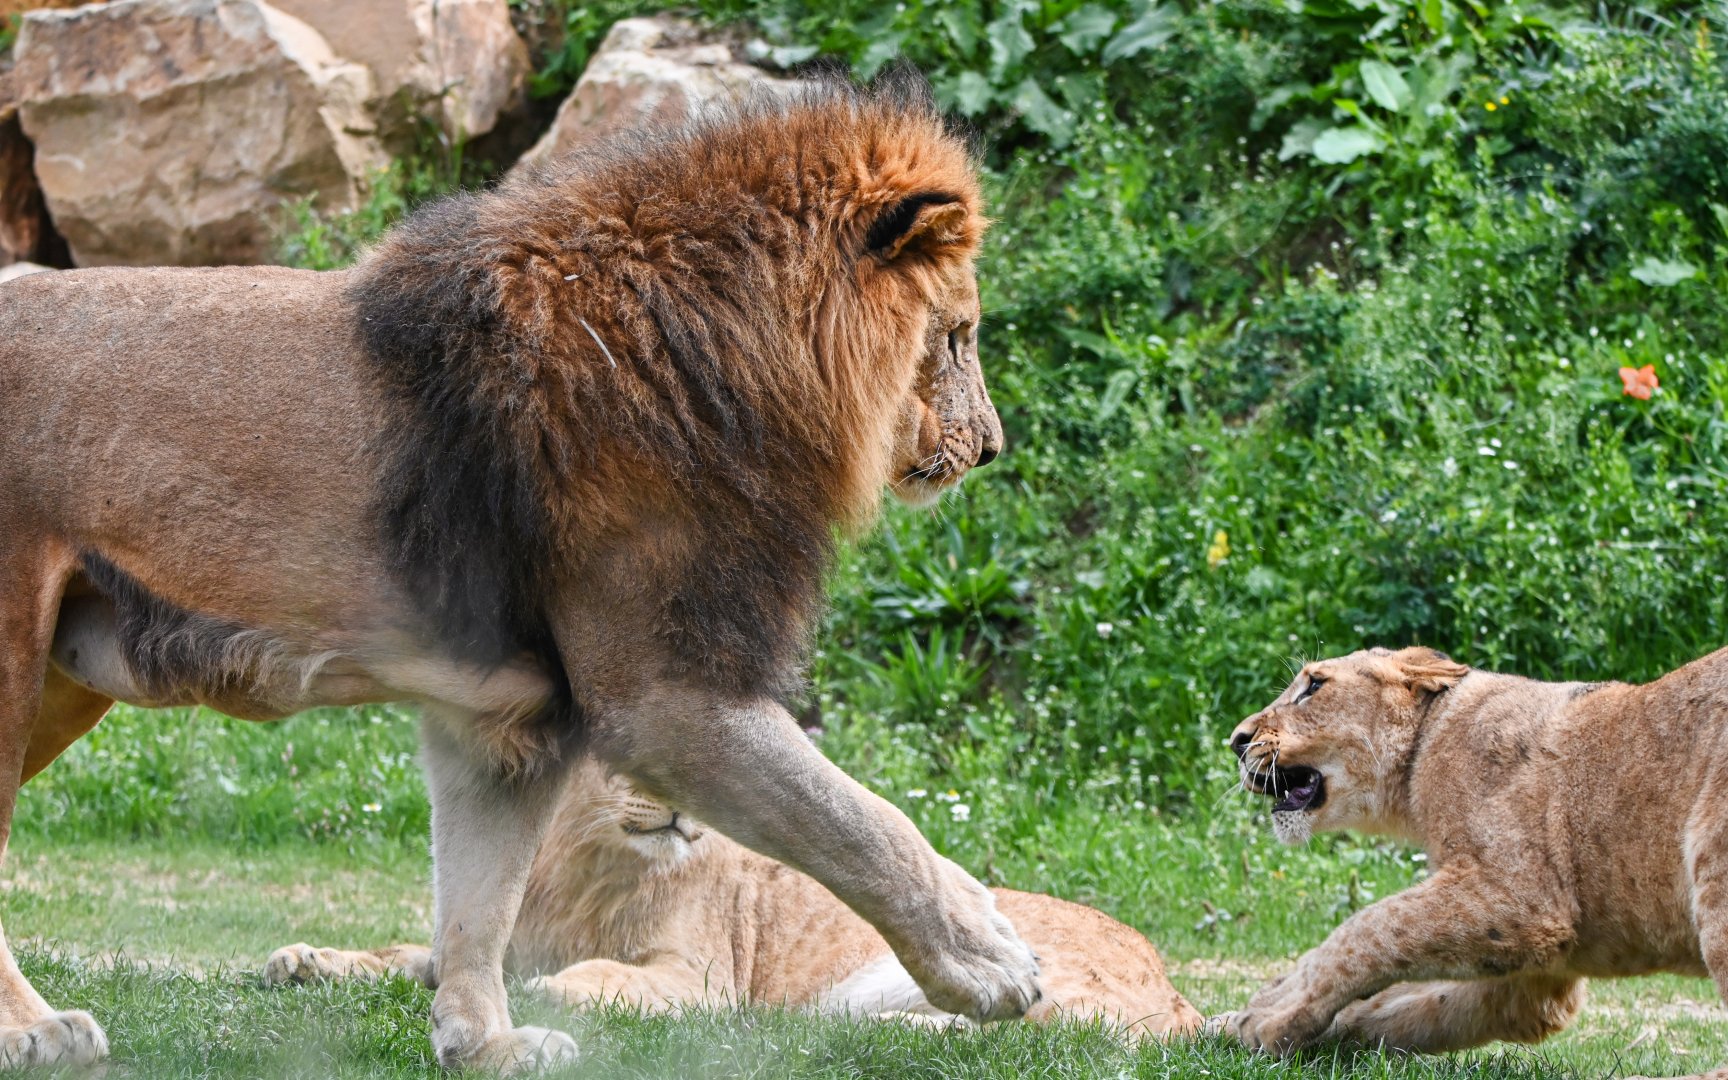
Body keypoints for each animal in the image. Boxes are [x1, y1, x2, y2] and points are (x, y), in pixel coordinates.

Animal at [0, 72, 1039, 1072]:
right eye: (959, 335)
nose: (989, 447)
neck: (718, 352)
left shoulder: (511, 722)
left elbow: (481, 896)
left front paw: (482, 1041)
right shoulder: (665, 695)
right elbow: (858, 821)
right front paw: (990, 961)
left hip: (63, 680)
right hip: (13, 663)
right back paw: (35, 1029)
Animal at [264, 757, 1203, 1040]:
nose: (680, 804)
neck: (579, 860)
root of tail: (1177, 988)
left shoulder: (699, 979)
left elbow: (611, 977)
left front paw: (555, 991)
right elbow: (402, 956)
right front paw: (304, 960)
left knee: (1041, 1031)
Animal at [1219, 644, 1728, 1072]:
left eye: (1314, 686)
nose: (1236, 740)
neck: (1420, 755)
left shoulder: (1523, 897)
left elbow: (1366, 930)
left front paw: (1274, 1015)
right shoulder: (1539, 974)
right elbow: (1416, 1002)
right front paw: (1238, 1023)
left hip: (1712, 850)